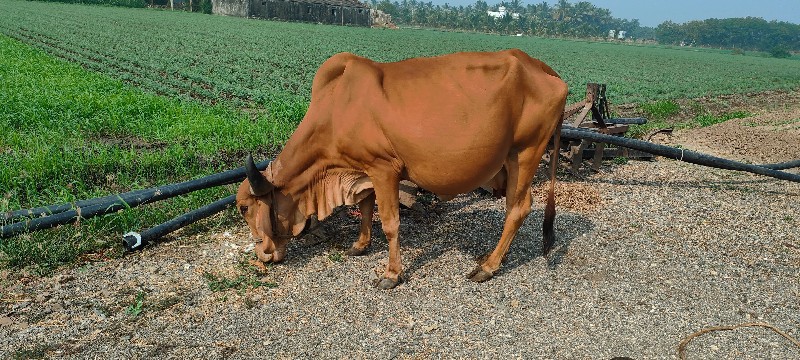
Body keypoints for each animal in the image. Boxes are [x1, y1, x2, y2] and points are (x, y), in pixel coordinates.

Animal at [238, 48, 568, 290]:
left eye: (243, 207)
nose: (262, 254)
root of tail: (538, 65)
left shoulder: (384, 168)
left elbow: (389, 222)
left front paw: (391, 274)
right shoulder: (364, 171)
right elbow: (366, 207)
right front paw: (360, 245)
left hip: (525, 152)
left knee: (518, 208)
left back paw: (487, 267)